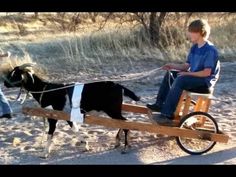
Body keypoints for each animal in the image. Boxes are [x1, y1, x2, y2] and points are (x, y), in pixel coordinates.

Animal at [4, 63, 140, 158]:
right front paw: (85, 145)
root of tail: (119, 86)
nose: (4, 83)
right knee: (123, 122)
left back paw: (125, 146)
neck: (45, 90)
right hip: (114, 110)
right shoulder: (68, 116)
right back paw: (117, 141)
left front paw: (45, 153)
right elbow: (75, 129)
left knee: (125, 123)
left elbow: (50, 134)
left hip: (112, 110)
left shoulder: (53, 116)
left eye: (14, 74)